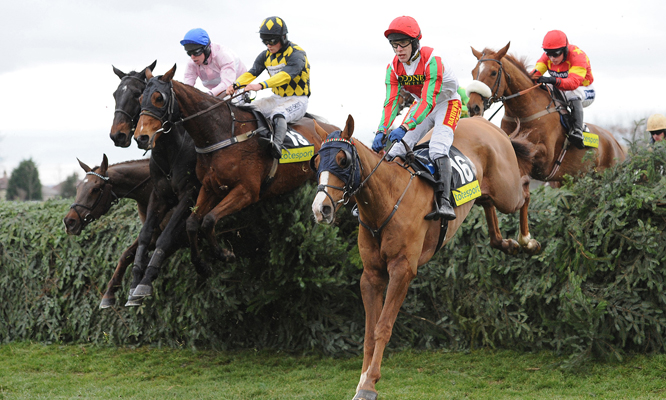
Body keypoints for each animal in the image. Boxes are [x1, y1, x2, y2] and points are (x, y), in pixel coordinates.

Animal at [62, 155, 165, 308]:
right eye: (78, 187)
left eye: (95, 189)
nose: (69, 222)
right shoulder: (153, 234)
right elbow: (125, 255)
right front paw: (109, 294)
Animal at [133, 65, 340, 286]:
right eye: (140, 99)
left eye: (159, 98)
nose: (141, 137)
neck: (222, 134)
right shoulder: (210, 187)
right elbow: (192, 223)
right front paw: (201, 265)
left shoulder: (246, 191)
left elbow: (209, 220)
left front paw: (224, 254)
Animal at [311, 115, 541, 400]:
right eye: (317, 162)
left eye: (342, 160)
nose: (320, 209)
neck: (386, 201)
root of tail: (482, 121)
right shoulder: (371, 275)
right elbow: (368, 332)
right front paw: (362, 380)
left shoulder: (402, 270)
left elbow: (382, 327)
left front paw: (369, 384)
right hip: (487, 190)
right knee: (488, 204)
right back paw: (506, 243)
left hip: (506, 191)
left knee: (525, 190)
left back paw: (527, 240)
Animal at [466, 43, 626, 183]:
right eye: (473, 72)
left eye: (493, 73)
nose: (473, 106)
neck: (524, 112)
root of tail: (616, 143)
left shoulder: (545, 159)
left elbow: (527, 148)